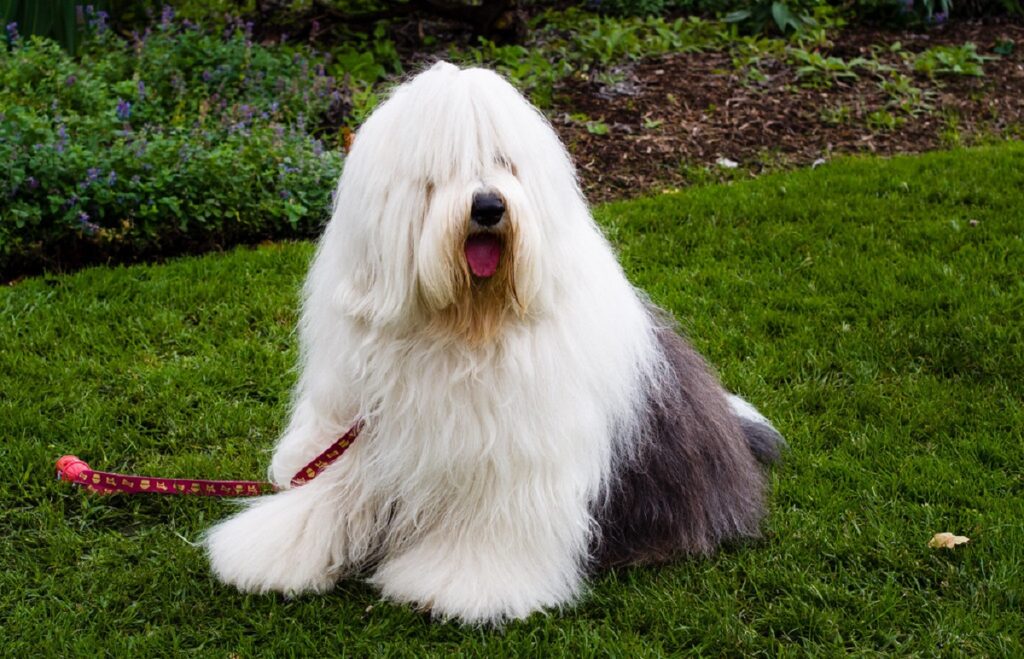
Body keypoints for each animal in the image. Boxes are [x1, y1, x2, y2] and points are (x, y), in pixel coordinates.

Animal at [205, 60, 782, 622]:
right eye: (438, 173)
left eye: (505, 162)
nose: (487, 206)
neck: (462, 326)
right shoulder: (352, 427)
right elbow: (326, 494)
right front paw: (269, 552)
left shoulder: (511, 463)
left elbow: (489, 526)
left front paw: (458, 586)